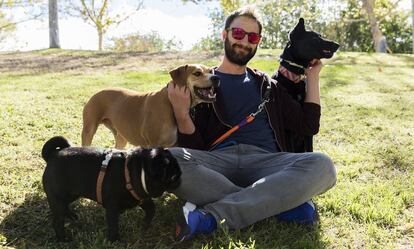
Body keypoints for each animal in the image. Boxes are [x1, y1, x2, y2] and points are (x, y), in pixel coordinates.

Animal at [81, 65, 220, 149]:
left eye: (210, 71)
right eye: (197, 73)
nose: (216, 77)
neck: (170, 103)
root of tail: (97, 93)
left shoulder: (174, 145)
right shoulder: (153, 145)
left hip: (121, 137)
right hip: (88, 130)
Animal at [272, 18, 340, 152]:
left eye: (320, 35)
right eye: (314, 38)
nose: (337, 45)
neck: (294, 78)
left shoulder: (307, 132)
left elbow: (310, 149)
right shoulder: (289, 131)